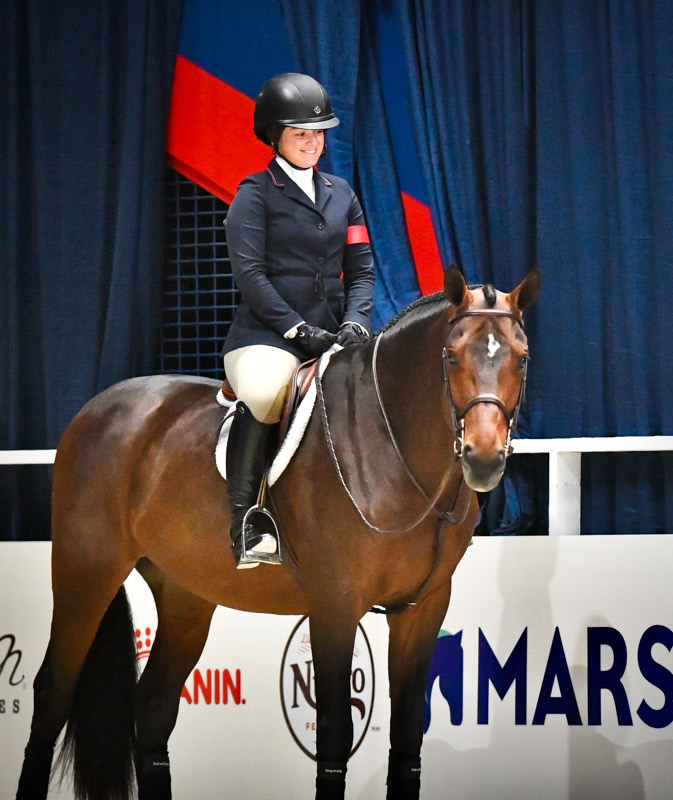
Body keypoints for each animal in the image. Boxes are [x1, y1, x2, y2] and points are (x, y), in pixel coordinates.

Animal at [15, 268, 540, 800]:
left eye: (522, 358)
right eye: (451, 355)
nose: (483, 459)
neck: (392, 449)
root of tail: (97, 409)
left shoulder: (423, 609)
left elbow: (409, 734)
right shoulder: (335, 605)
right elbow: (333, 735)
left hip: (185, 595)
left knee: (153, 707)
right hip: (87, 571)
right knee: (54, 690)